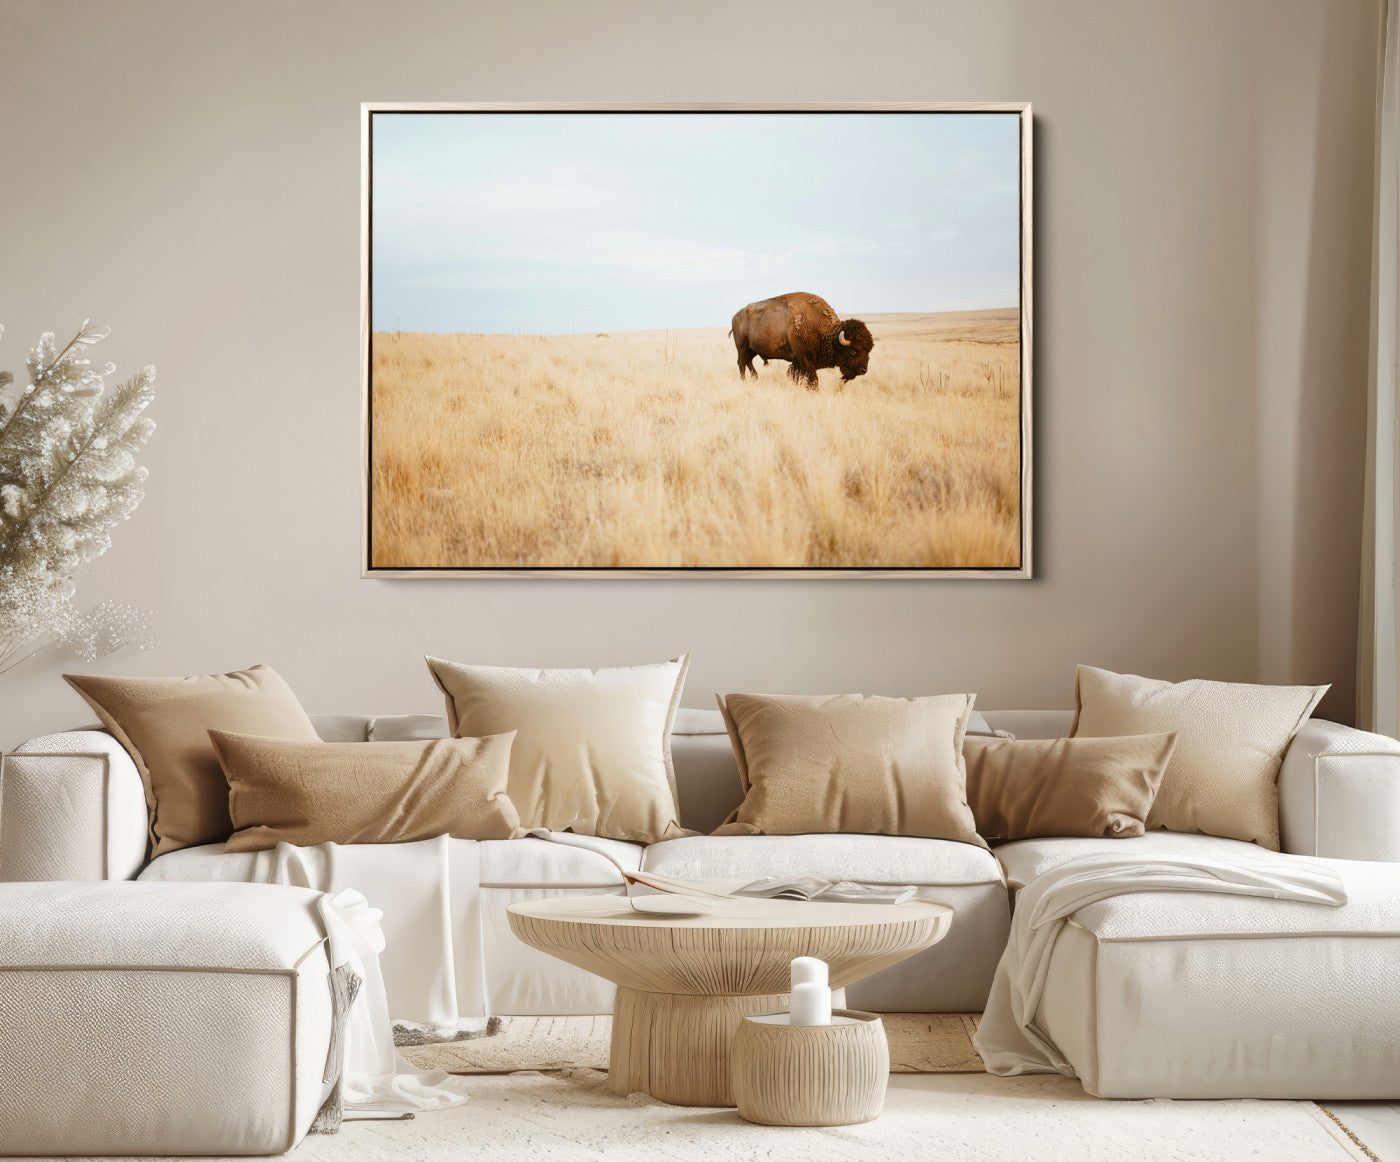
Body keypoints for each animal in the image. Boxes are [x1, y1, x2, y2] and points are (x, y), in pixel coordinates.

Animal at [729, 292, 874, 390]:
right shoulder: (805, 360)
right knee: (741, 363)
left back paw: (755, 378)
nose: (863, 370)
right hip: (742, 347)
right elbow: (813, 379)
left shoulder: (798, 362)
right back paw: (744, 382)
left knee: (748, 362)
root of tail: (736, 316)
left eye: (868, 350)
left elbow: (795, 376)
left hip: (752, 349)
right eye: (854, 351)